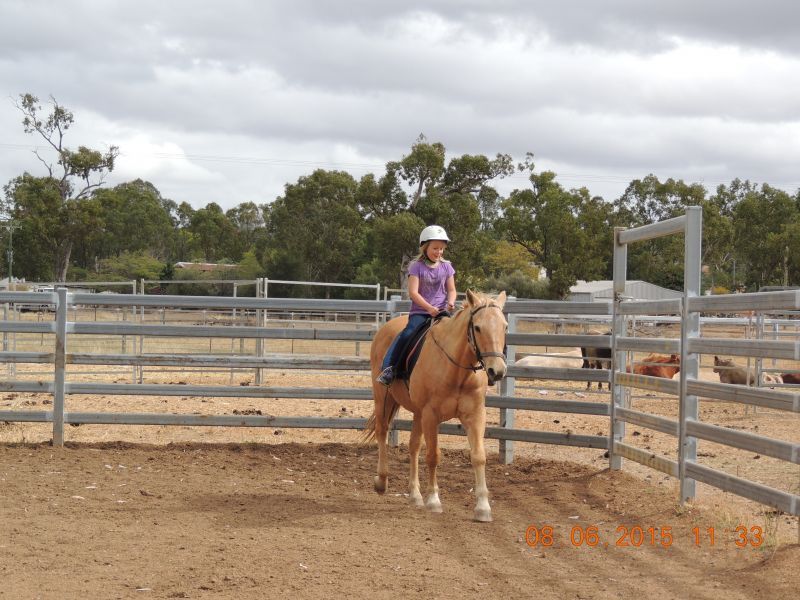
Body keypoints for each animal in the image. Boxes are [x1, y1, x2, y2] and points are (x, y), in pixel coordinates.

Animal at [363, 290, 508, 522]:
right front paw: (433, 500)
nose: (498, 371)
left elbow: (478, 457)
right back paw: (381, 481)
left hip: (417, 413)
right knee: (382, 432)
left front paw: (483, 508)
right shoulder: (431, 415)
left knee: (413, 447)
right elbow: (433, 456)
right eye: (477, 327)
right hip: (384, 398)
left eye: (504, 327)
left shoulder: (475, 415)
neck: (457, 369)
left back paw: (414, 495)